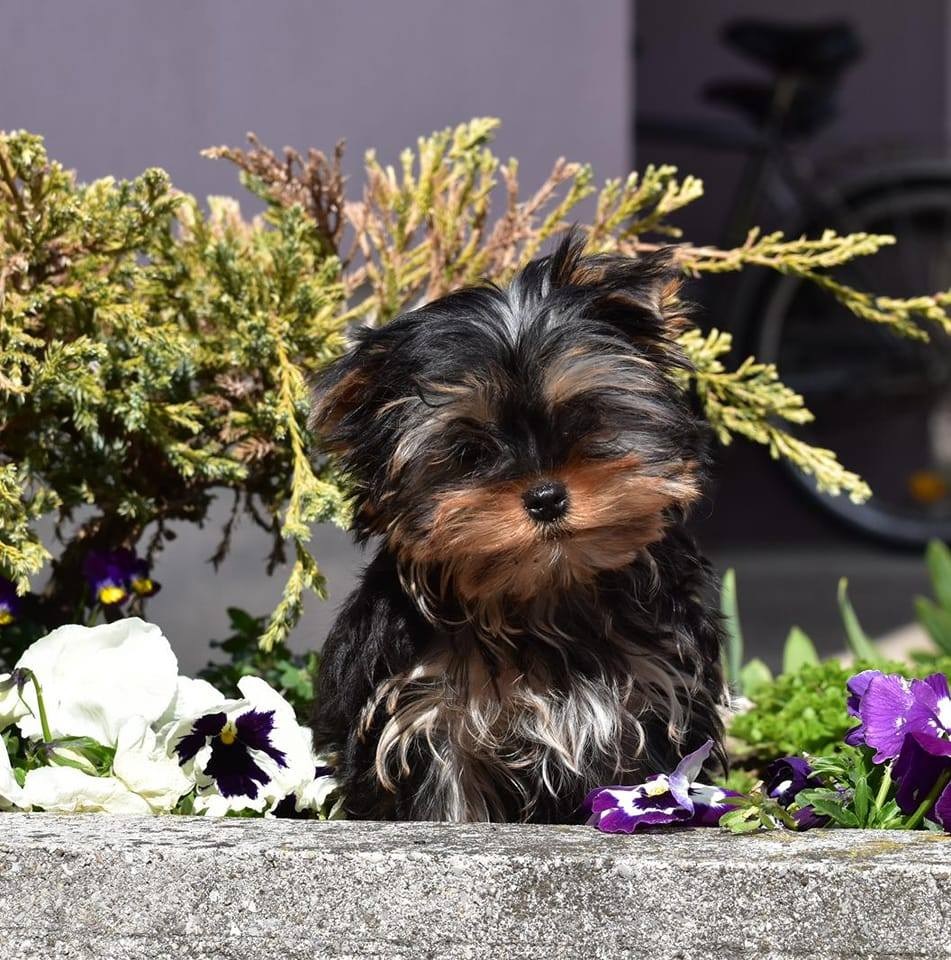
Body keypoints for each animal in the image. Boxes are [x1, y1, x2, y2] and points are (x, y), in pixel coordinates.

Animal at [308, 236, 724, 820]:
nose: (546, 498)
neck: (547, 595)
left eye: (585, 419)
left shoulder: (654, 699)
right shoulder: (425, 717)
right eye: (470, 452)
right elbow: (448, 806)